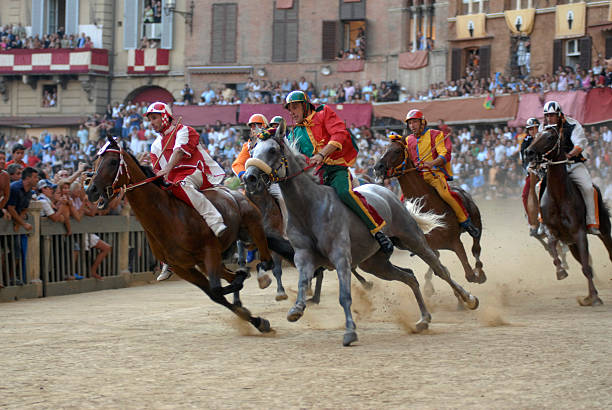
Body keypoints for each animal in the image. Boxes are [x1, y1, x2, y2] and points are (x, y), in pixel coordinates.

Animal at [86, 137, 294, 334]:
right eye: (96, 161)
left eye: (113, 161)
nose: (91, 190)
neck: (167, 216)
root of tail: (236, 193)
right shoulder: (182, 267)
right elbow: (216, 294)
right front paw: (258, 321)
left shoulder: (210, 250)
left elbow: (218, 290)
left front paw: (243, 284)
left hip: (252, 226)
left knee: (267, 261)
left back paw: (262, 277)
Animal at [370, 139, 486, 296]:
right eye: (384, 148)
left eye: (397, 150)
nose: (378, 167)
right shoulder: (426, 245)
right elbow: (439, 267)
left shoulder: (455, 242)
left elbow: (469, 274)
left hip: (476, 222)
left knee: (476, 246)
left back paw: (480, 272)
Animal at [524, 126, 612, 306]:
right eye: (535, 136)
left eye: (550, 137)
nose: (529, 153)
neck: (559, 196)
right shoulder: (553, 231)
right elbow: (552, 246)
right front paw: (560, 271)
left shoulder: (579, 232)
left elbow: (586, 267)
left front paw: (594, 297)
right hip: (572, 244)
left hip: (604, 230)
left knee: (608, 252)